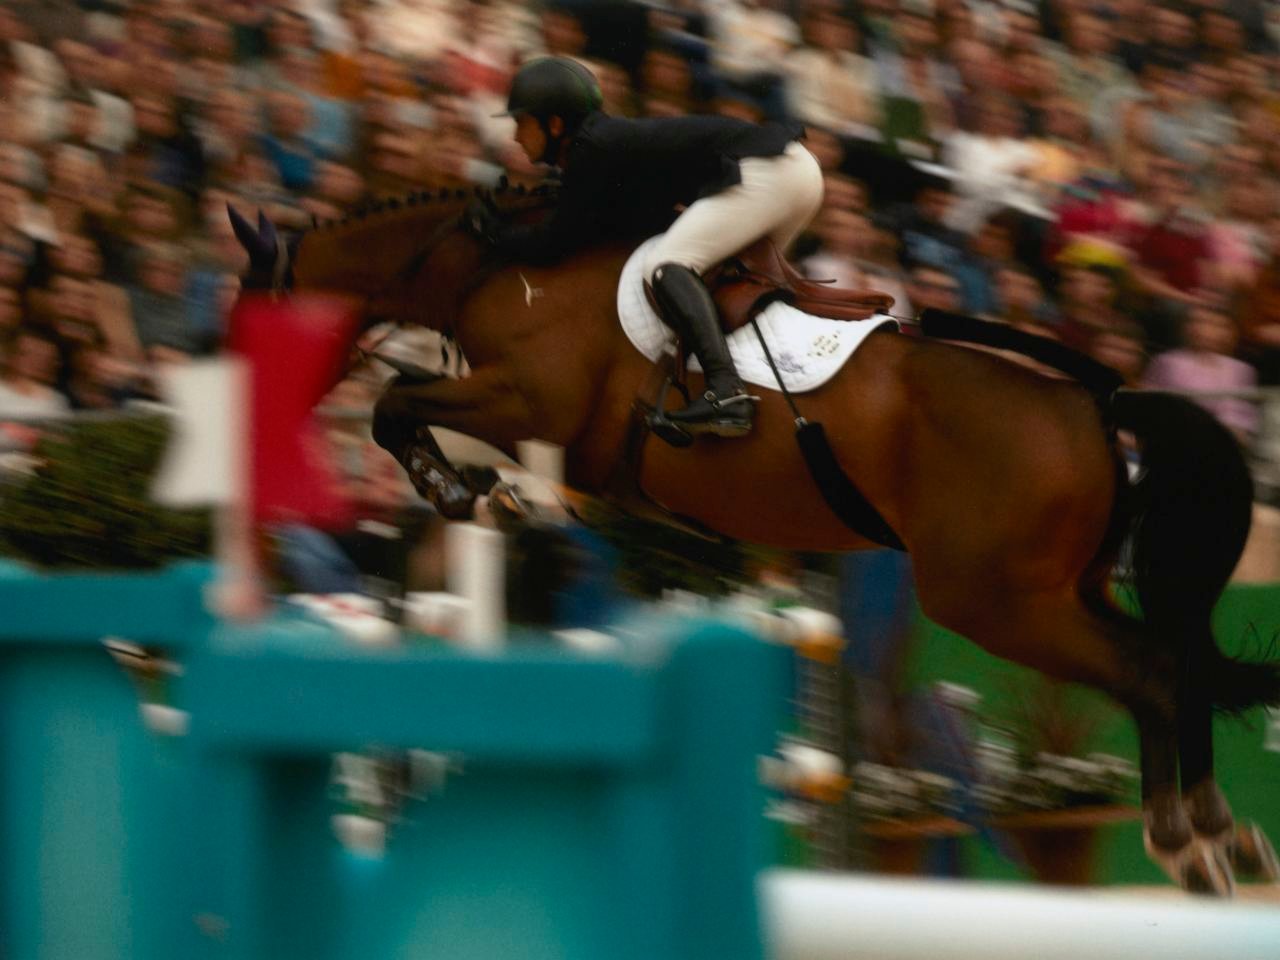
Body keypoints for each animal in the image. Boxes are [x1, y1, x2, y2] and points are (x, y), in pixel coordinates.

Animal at [230, 186, 1280, 895]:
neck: (494, 268)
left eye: (250, 319)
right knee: (1168, 661)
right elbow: (421, 425)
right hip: (1062, 590)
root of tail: (1098, 407)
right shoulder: (525, 421)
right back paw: (1216, 834)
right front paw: (481, 499)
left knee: (1149, 670)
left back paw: (1191, 839)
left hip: (994, 601)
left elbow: (394, 404)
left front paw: (460, 490)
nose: (248, 424)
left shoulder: (529, 400)